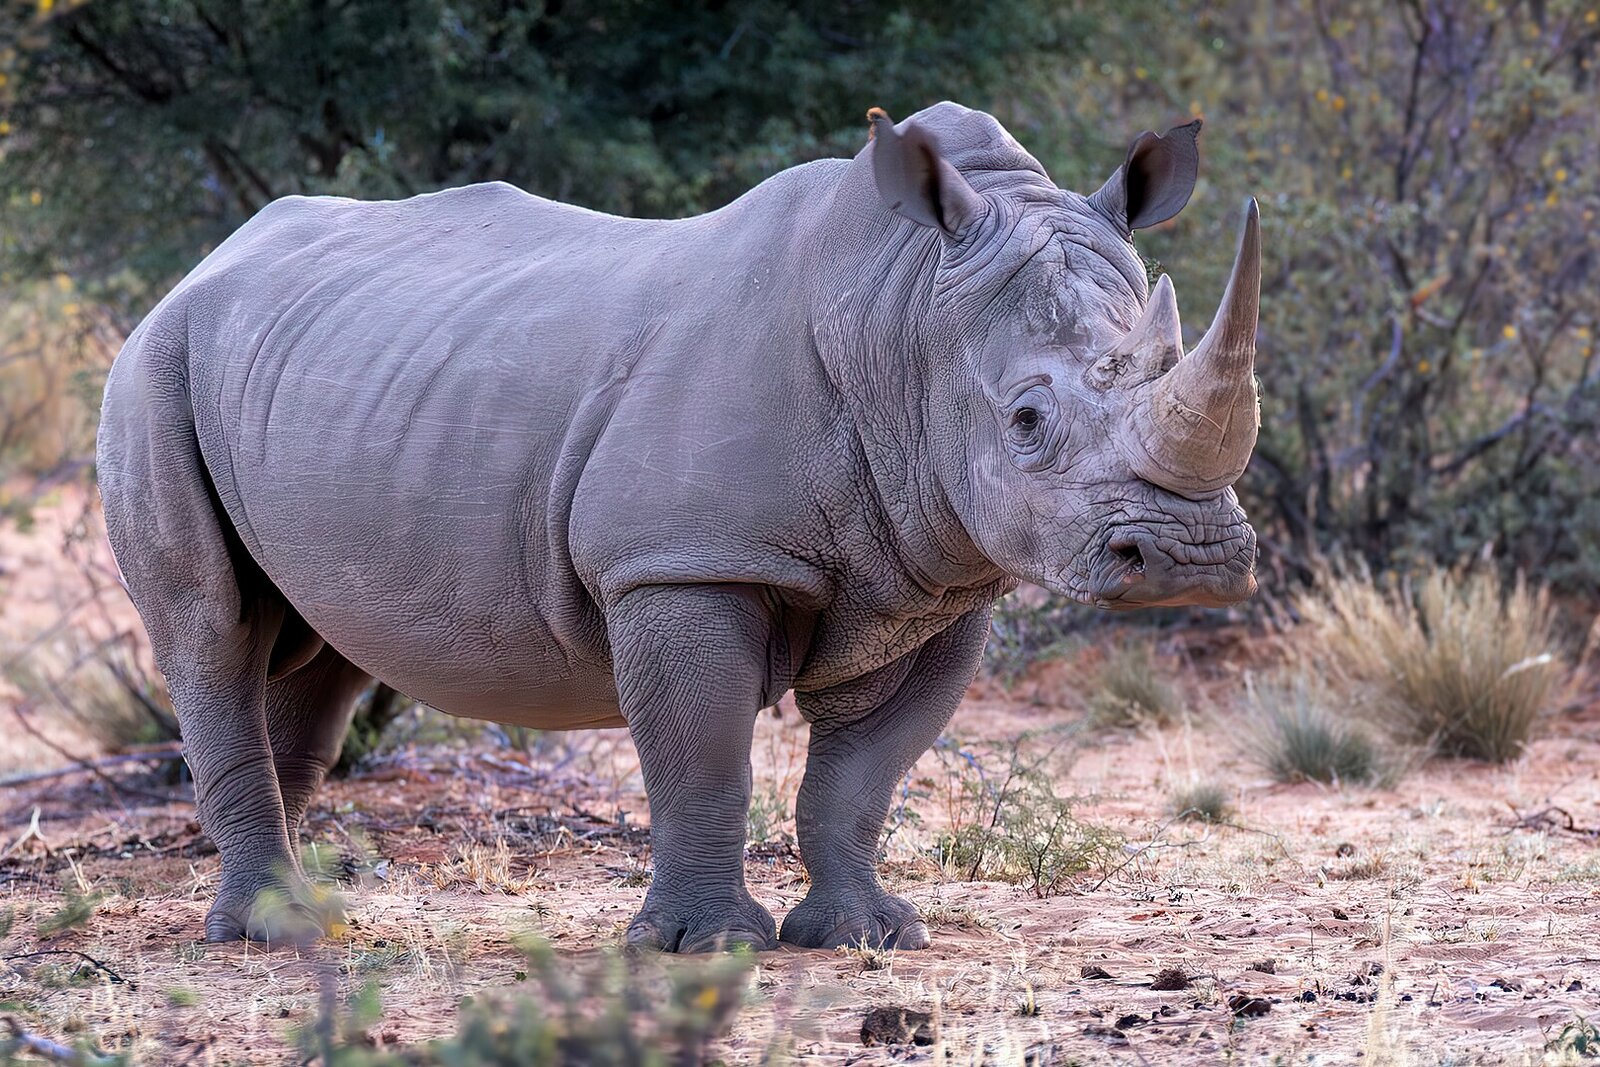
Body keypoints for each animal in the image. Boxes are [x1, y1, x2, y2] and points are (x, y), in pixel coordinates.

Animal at [97, 102, 1262, 952]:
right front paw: (707, 946)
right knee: (211, 628)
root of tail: (203, 264)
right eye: (1025, 419)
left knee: (315, 649)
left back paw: (297, 918)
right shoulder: (682, 562)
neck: (903, 317)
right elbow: (704, 755)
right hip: (152, 361)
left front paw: (867, 937)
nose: (1191, 558)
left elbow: (862, 775)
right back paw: (263, 932)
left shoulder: (939, 576)